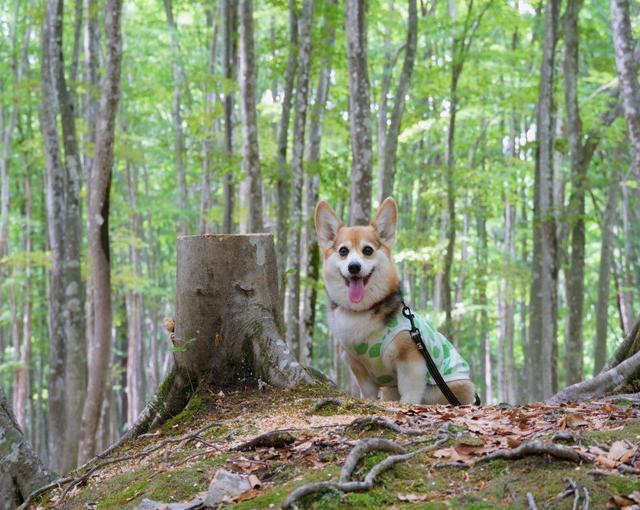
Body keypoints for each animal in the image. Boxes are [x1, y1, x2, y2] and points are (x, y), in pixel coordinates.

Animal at [316, 197, 476, 404]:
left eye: (367, 250)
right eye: (343, 251)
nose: (354, 267)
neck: (362, 311)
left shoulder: (410, 358)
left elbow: (409, 390)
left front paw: (407, 404)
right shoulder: (357, 365)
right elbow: (367, 391)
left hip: (448, 387)